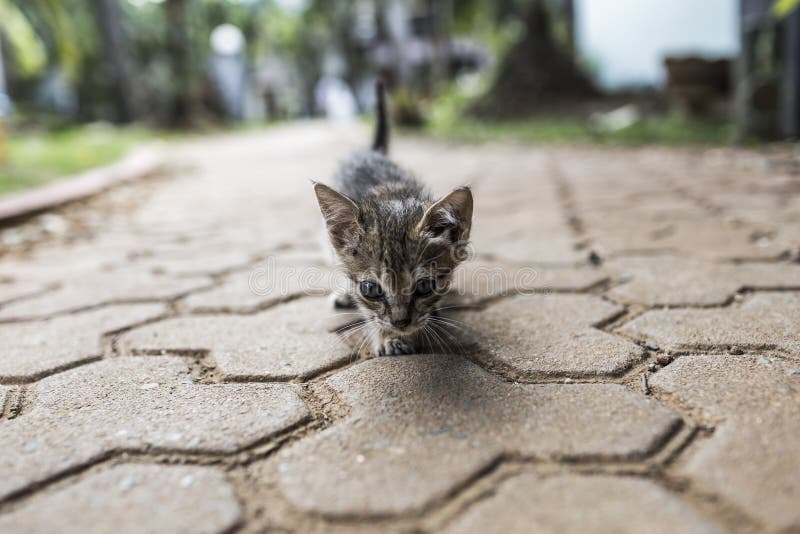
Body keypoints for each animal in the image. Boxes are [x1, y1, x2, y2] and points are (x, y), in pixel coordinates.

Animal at [314, 84, 476, 358]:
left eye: (425, 286)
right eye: (371, 290)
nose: (401, 322)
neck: (389, 194)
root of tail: (370, 152)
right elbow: (370, 314)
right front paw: (388, 337)